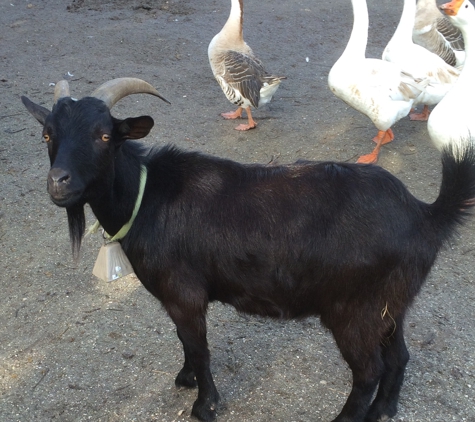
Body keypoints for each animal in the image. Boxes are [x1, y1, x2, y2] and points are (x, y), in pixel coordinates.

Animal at [22, 78, 475, 422]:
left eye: (104, 136)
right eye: (47, 135)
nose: (58, 182)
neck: (146, 197)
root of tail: (425, 214)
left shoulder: (184, 294)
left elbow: (199, 348)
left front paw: (204, 405)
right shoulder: (175, 299)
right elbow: (184, 342)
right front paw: (184, 378)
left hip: (354, 309)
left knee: (368, 371)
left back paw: (348, 418)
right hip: (391, 304)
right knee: (399, 357)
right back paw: (384, 410)